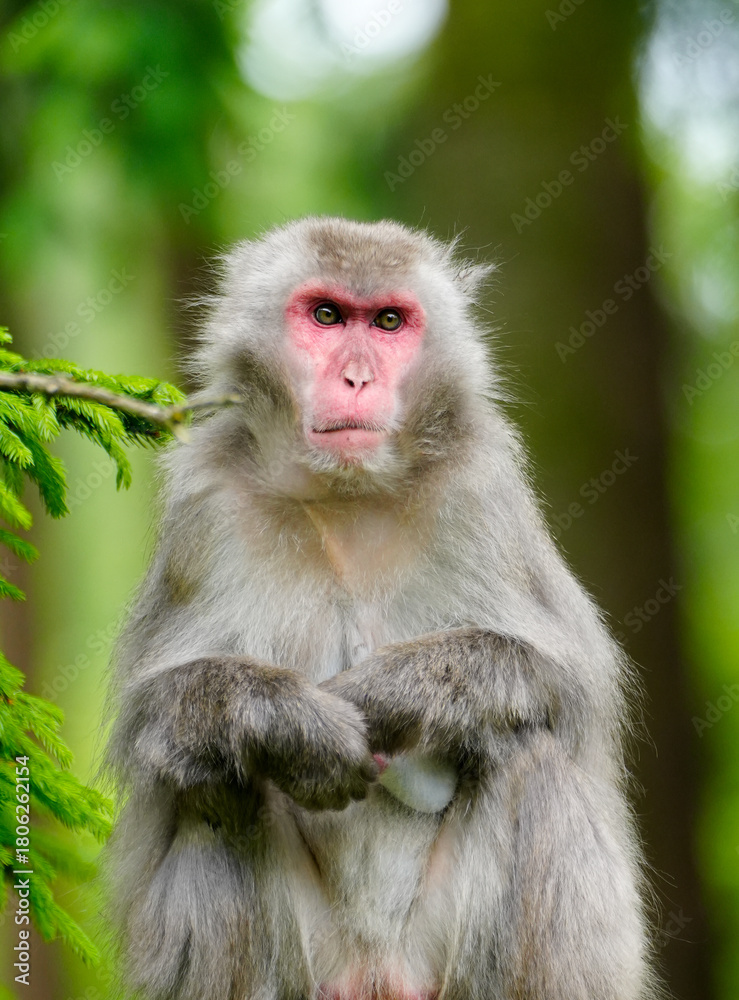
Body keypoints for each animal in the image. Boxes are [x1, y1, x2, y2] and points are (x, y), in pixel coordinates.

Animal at [105, 216, 658, 1000]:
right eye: (326, 315)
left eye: (389, 322)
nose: (358, 378)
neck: (350, 497)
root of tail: (376, 974)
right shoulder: (204, 507)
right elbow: (157, 716)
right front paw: (290, 725)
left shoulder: (482, 489)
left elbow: (566, 685)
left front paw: (399, 692)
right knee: (209, 782)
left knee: (532, 757)